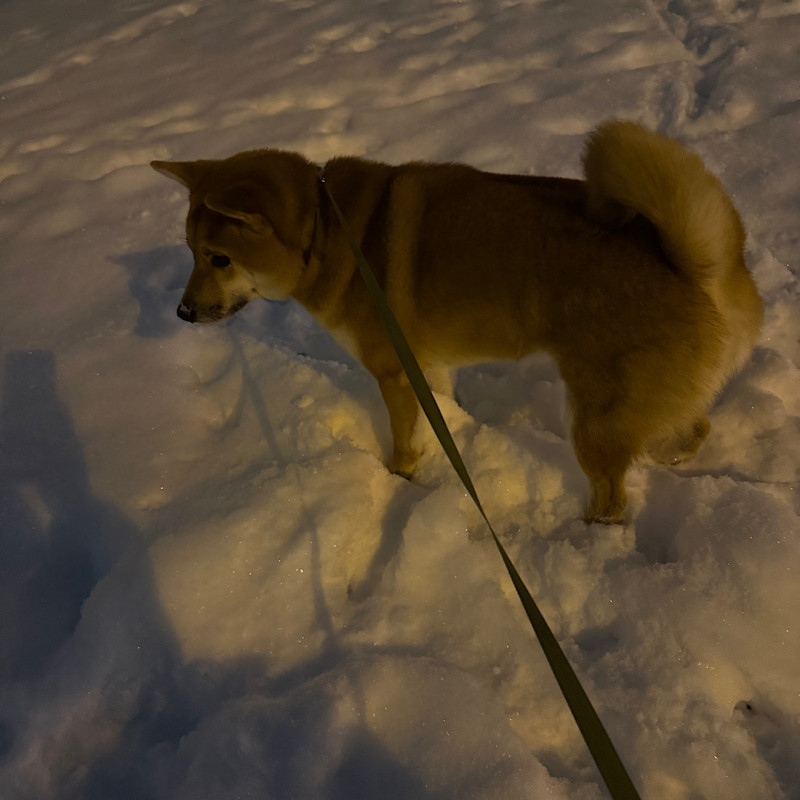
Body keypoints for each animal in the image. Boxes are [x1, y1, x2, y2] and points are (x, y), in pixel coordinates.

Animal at [151, 120, 763, 523]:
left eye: (219, 258)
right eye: (190, 251)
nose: (182, 312)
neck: (325, 230)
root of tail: (702, 266)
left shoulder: (394, 372)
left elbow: (403, 445)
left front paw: (399, 479)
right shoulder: (428, 366)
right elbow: (439, 416)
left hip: (596, 418)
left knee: (612, 498)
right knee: (694, 427)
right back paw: (667, 454)